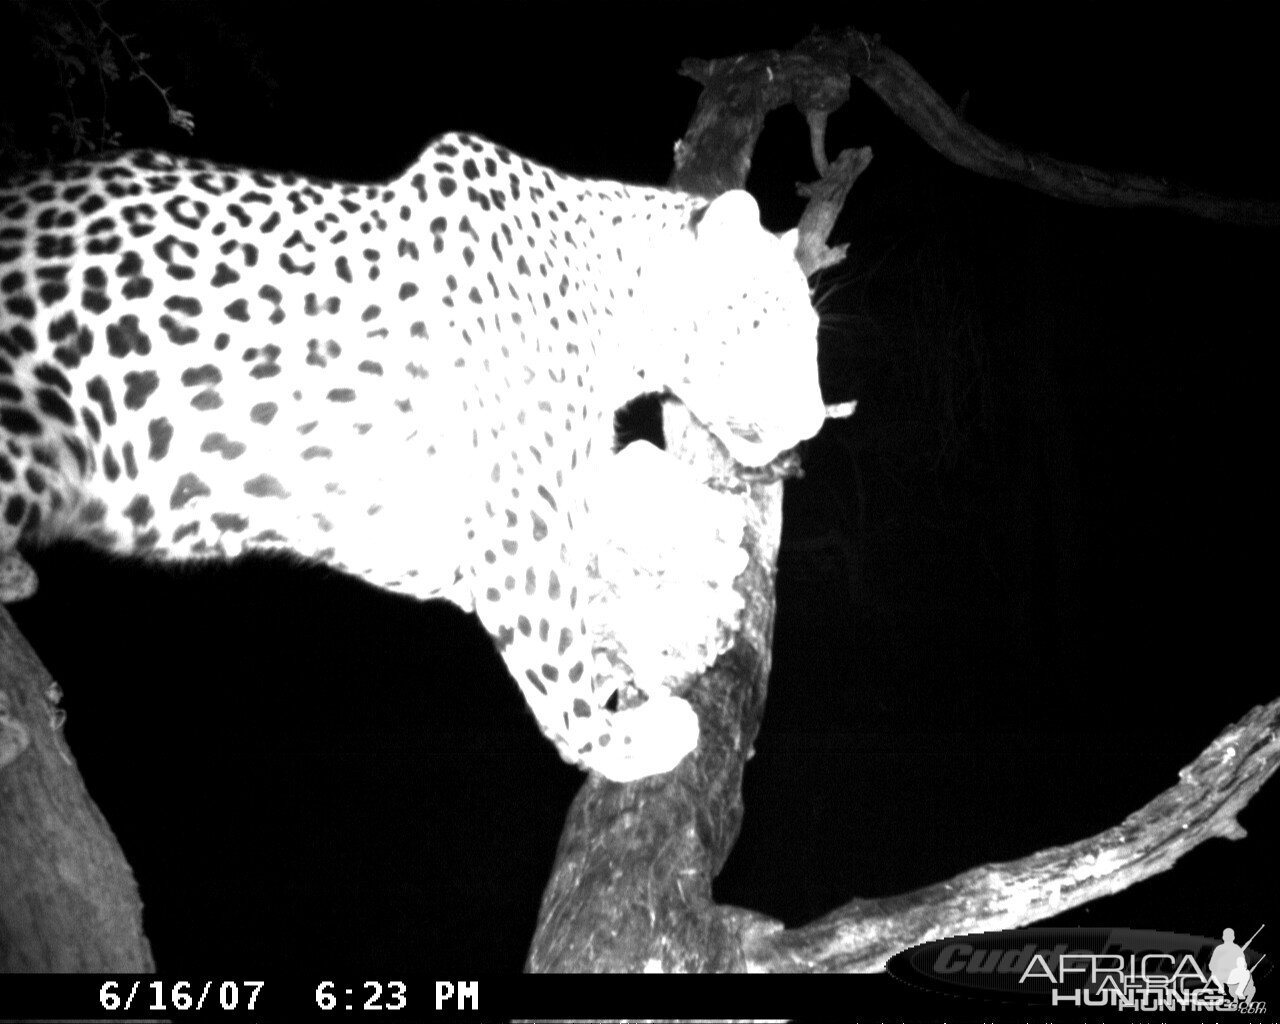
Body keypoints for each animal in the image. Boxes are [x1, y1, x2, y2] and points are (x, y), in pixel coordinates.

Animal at [0, 131, 824, 778]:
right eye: (779, 324)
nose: (816, 422)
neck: (611, 309)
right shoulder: (513, 522)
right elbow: (560, 661)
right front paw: (620, 742)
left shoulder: (408, 526)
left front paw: (690, 569)